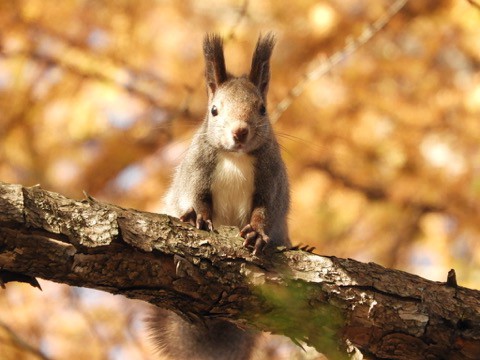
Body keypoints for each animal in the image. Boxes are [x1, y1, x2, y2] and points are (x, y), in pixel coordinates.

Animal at [150, 32, 290, 358]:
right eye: (214, 110)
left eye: (262, 108)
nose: (239, 132)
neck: (235, 157)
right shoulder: (195, 171)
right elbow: (196, 197)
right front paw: (199, 218)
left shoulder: (272, 181)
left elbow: (265, 210)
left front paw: (256, 234)